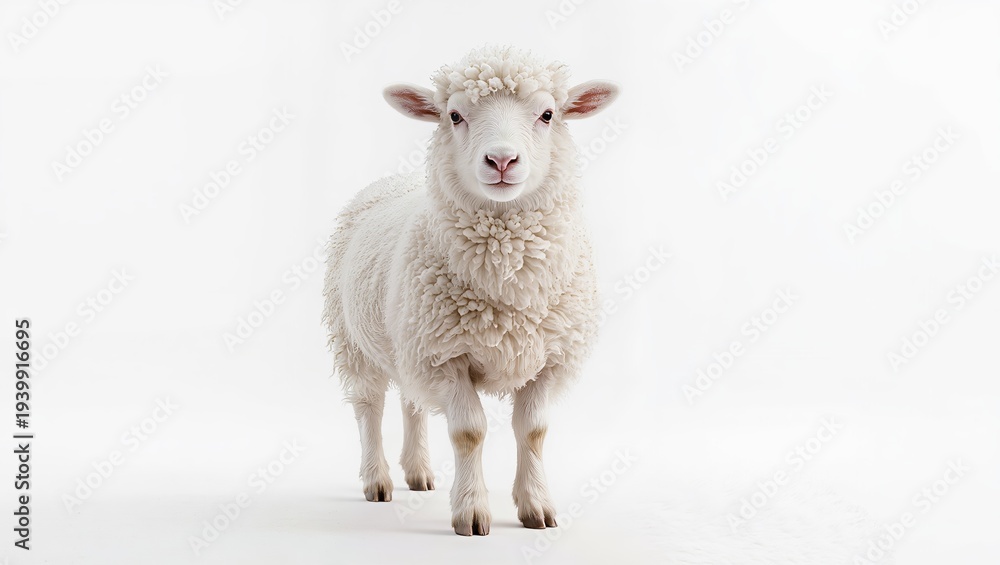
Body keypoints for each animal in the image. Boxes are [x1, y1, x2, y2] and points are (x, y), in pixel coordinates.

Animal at [323, 46, 619, 536]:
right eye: (455, 115)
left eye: (548, 114)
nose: (501, 161)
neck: (507, 279)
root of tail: (392, 180)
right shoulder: (447, 358)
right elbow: (469, 432)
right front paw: (471, 511)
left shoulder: (549, 358)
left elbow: (533, 430)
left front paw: (536, 506)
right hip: (355, 341)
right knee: (369, 406)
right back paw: (377, 480)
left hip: (409, 340)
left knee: (411, 403)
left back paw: (418, 472)